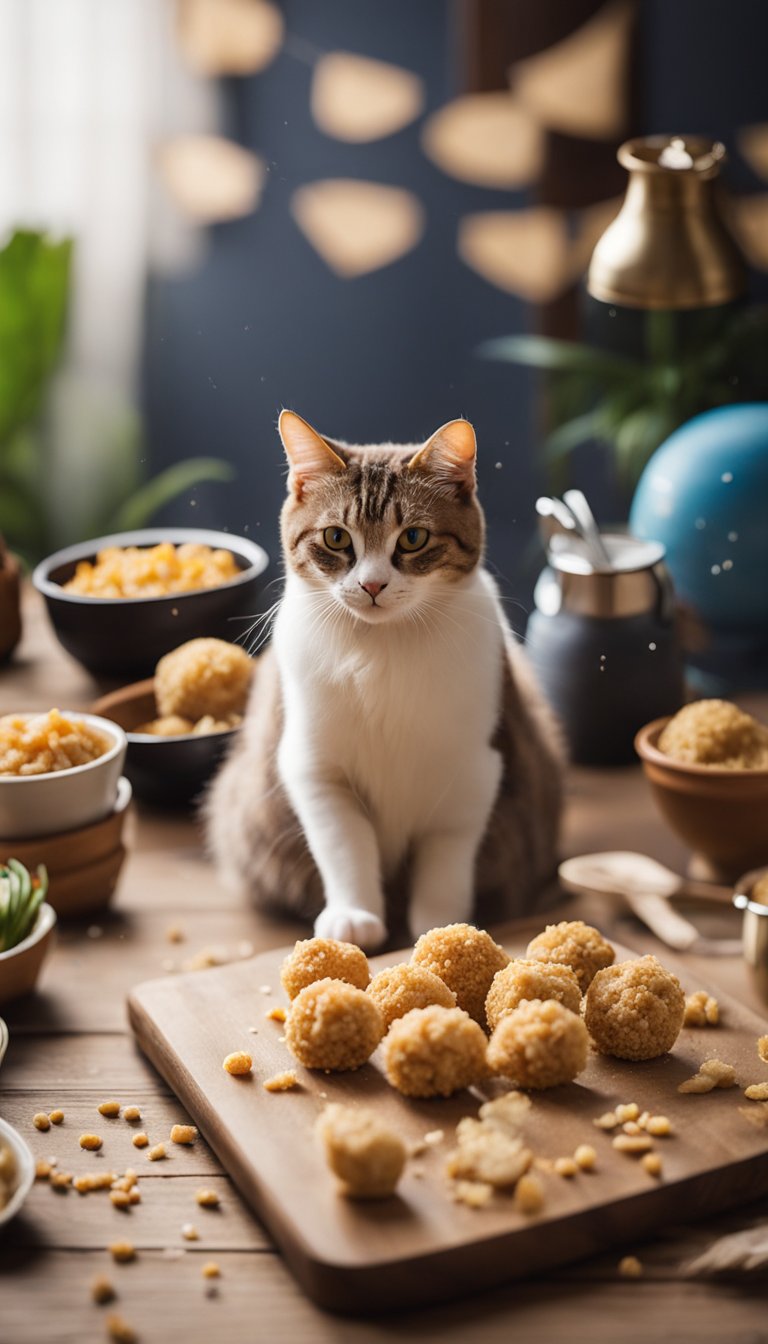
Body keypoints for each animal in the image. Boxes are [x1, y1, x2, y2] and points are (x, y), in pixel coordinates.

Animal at [204, 408, 564, 946]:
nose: (371, 585)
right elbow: (344, 845)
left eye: (413, 538)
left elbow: (446, 858)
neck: (383, 647)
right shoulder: (316, 768)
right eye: (336, 538)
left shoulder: (473, 771)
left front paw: (441, 923)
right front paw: (353, 915)